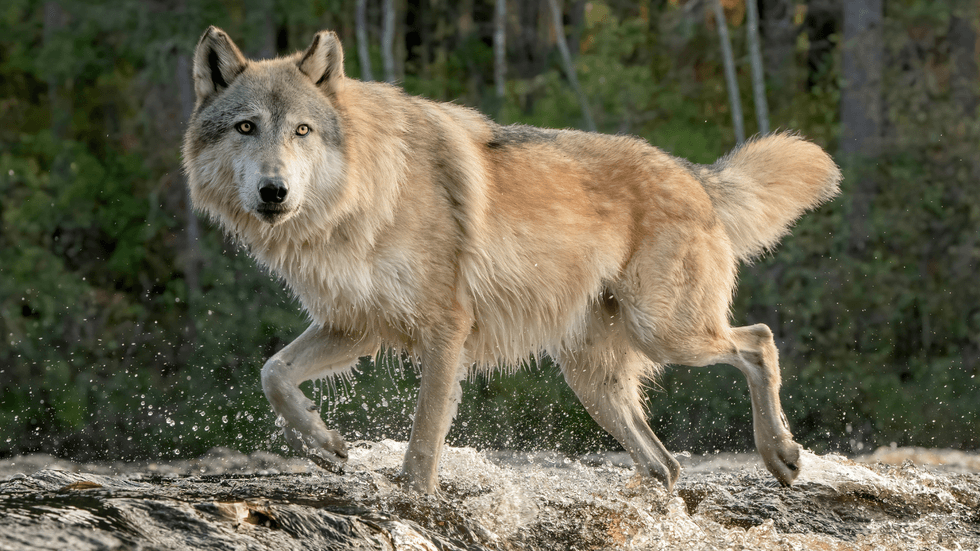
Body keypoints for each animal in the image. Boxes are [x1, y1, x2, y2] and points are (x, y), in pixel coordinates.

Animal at [183, 26, 841, 494]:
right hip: (594, 380)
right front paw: (324, 443)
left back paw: (781, 455)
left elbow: (424, 439)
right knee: (667, 464)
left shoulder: (444, 330)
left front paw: (413, 498)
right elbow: (273, 373)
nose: (274, 192)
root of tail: (695, 174)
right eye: (246, 127)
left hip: (667, 332)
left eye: (301, 131)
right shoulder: (357, 326)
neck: (361, 198)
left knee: (758, 340)